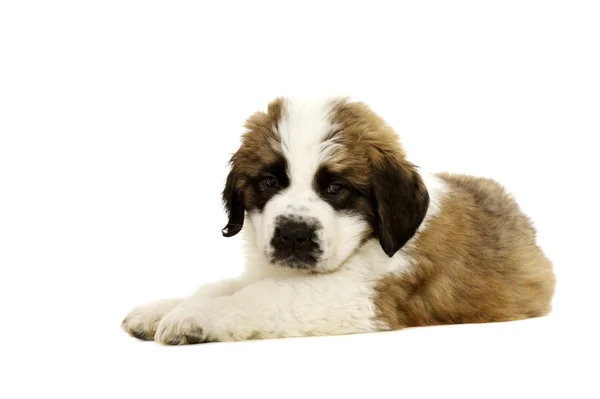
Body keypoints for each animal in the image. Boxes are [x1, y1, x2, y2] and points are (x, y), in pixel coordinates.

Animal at [122, 97, 556, 346]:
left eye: (336, 188)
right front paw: (161, 309)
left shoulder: (361, 297)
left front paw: (195, 317)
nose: (293, 235)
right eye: (269, 182)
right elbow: (222, 285)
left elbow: (261, 296)